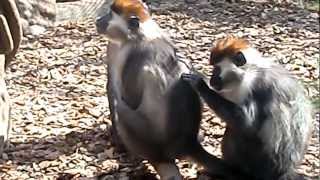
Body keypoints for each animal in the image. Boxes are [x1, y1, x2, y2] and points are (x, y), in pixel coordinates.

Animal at [94, 0, 248, 179]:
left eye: (110, 15)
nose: (99, 20)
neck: (140, 34)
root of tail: (187, 144)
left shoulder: (134, 55)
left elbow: (127, 98)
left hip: (151, 141)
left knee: (120, 107)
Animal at [181, 36, 314, 180]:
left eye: (216, 69)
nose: (212, 80)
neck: (251, 69)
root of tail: (283, 172)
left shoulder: (255, 83)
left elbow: (247, 123)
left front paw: (200, 84)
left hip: (258, 163)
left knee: (237, 131)